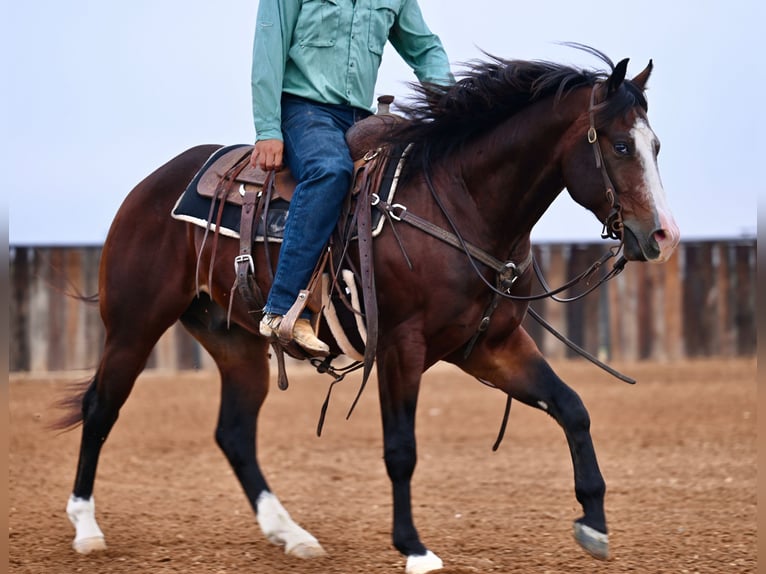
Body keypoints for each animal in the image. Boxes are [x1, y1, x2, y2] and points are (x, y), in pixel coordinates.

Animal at [58, 50, 684, 574]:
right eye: (620, 146)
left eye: (656, 146)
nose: (663, 236)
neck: (460, 203)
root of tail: (150, 186)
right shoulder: (401, 346)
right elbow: (401, 449)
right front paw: (415, 549)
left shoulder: (491, 346)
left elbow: (572, 408)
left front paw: (594, 522)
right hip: (134, 327)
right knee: (101, 408)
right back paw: (86, 528)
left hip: (236, 343)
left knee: (233, 432)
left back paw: (291, 534)